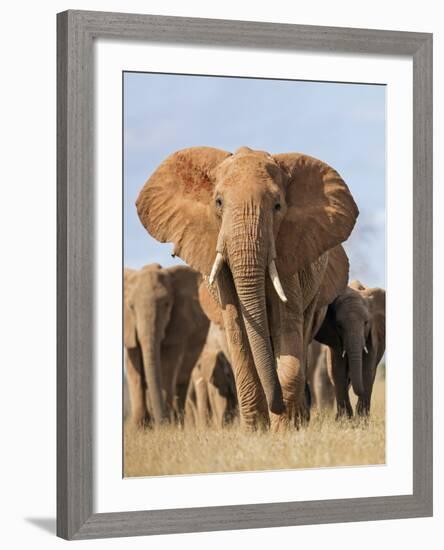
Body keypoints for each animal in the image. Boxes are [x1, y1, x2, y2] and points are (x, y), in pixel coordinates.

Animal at [124, 264, 209, 426]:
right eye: (130, 307)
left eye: (167, 304)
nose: (160, 423)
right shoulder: (129, 328)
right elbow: (133, 368)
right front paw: (139, 427)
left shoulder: (179, 323)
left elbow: (168, 365)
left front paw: (167, 425)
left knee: (181, 381)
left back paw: (179, 422)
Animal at [137, 147, 360, 432]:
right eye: (218, 202)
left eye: (277, 206)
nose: (277, 406)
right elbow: (237, 330)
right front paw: (256, 431)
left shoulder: (290, 252)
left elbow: (286, 326)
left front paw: (283, 428)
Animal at [316, 280, 386, 418]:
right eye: (339, 325)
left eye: (366, 322)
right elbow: (337, 370)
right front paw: (345, 419)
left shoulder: (373, 333)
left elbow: (367, 370)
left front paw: (361, 420)